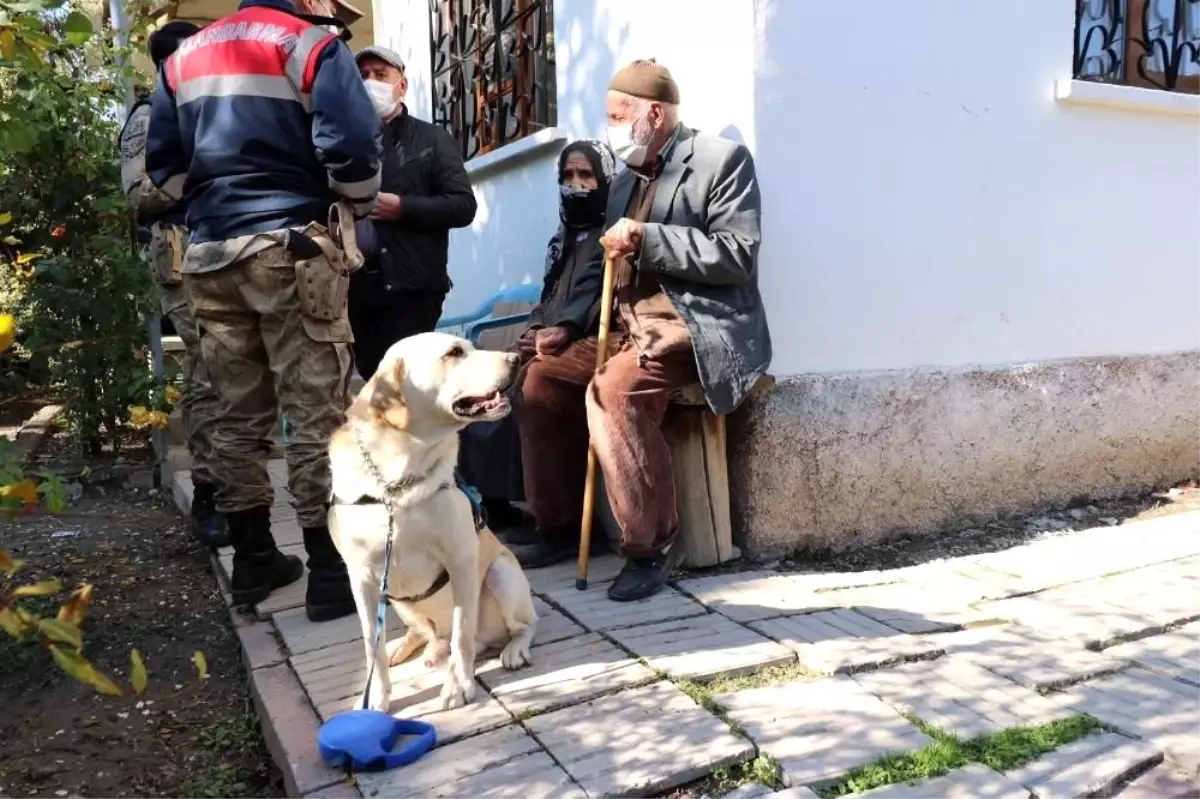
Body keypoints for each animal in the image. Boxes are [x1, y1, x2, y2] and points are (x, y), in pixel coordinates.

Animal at [326, 328, 537, 710]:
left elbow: (462, 636)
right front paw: (375, 695)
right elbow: (372, 647)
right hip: (397, 602)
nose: (516, 358)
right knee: (422, 632)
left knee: (521, 626)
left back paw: (512, 650)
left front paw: (459, 686)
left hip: (502, 573)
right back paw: (408, 646)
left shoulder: (461, 561)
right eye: (454, 352)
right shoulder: (361, 579)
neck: (396, 484)